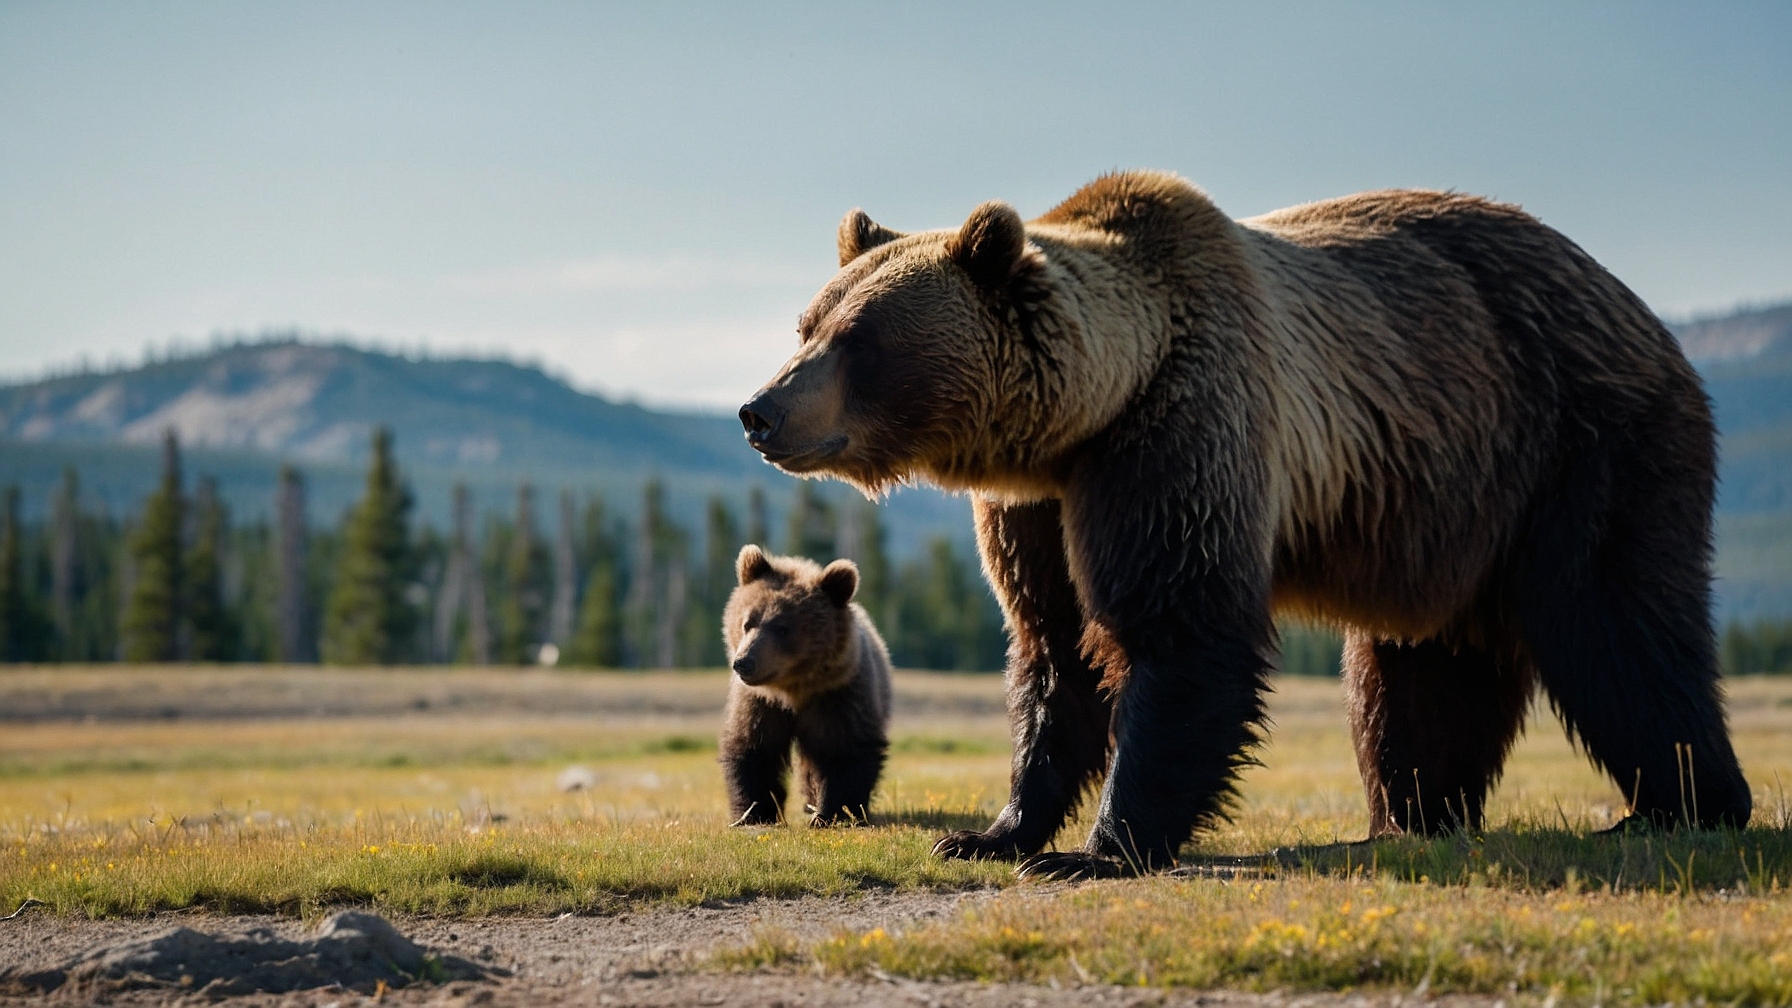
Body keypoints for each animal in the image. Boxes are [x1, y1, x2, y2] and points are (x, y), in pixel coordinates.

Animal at [719, 544, 894, 826]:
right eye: (747, 623)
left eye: (782, 627)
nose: (743, 662)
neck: (793, 689)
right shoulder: (759, 704)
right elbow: (754, 749)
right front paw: (754, 813)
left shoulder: (840, 698)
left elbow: (846, 752)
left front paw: (831, 814)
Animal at [737, 169, 1752, 878]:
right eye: (807, 323)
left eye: (858, 338)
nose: (758, 410)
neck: (1083, 418)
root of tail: (1635, 305)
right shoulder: (1039, 508)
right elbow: (1053, 651)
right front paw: (990, 832)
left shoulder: (1182, 431)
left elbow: (1180, 631)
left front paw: (1096, 849)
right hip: (1445, 509)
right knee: (1417, 673)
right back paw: (1406, 820)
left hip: (1580, 444)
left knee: (1616, 624)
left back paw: (1681, 805)